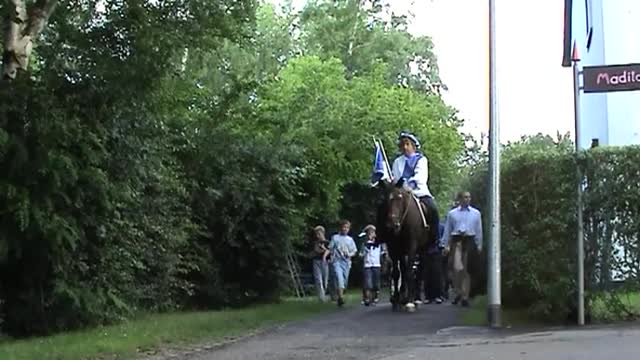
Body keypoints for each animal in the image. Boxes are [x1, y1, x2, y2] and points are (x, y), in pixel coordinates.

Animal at [376, 181, 436, 310]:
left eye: (399, 198)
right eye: (385, 199)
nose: (392, 224)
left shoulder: (412, 247)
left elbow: (409, 272)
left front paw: (409, 301)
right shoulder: (393, 249)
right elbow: (396, 273)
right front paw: (397, 299)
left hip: (422, 250)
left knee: (419, 272)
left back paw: (416, 299)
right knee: (403, 270)